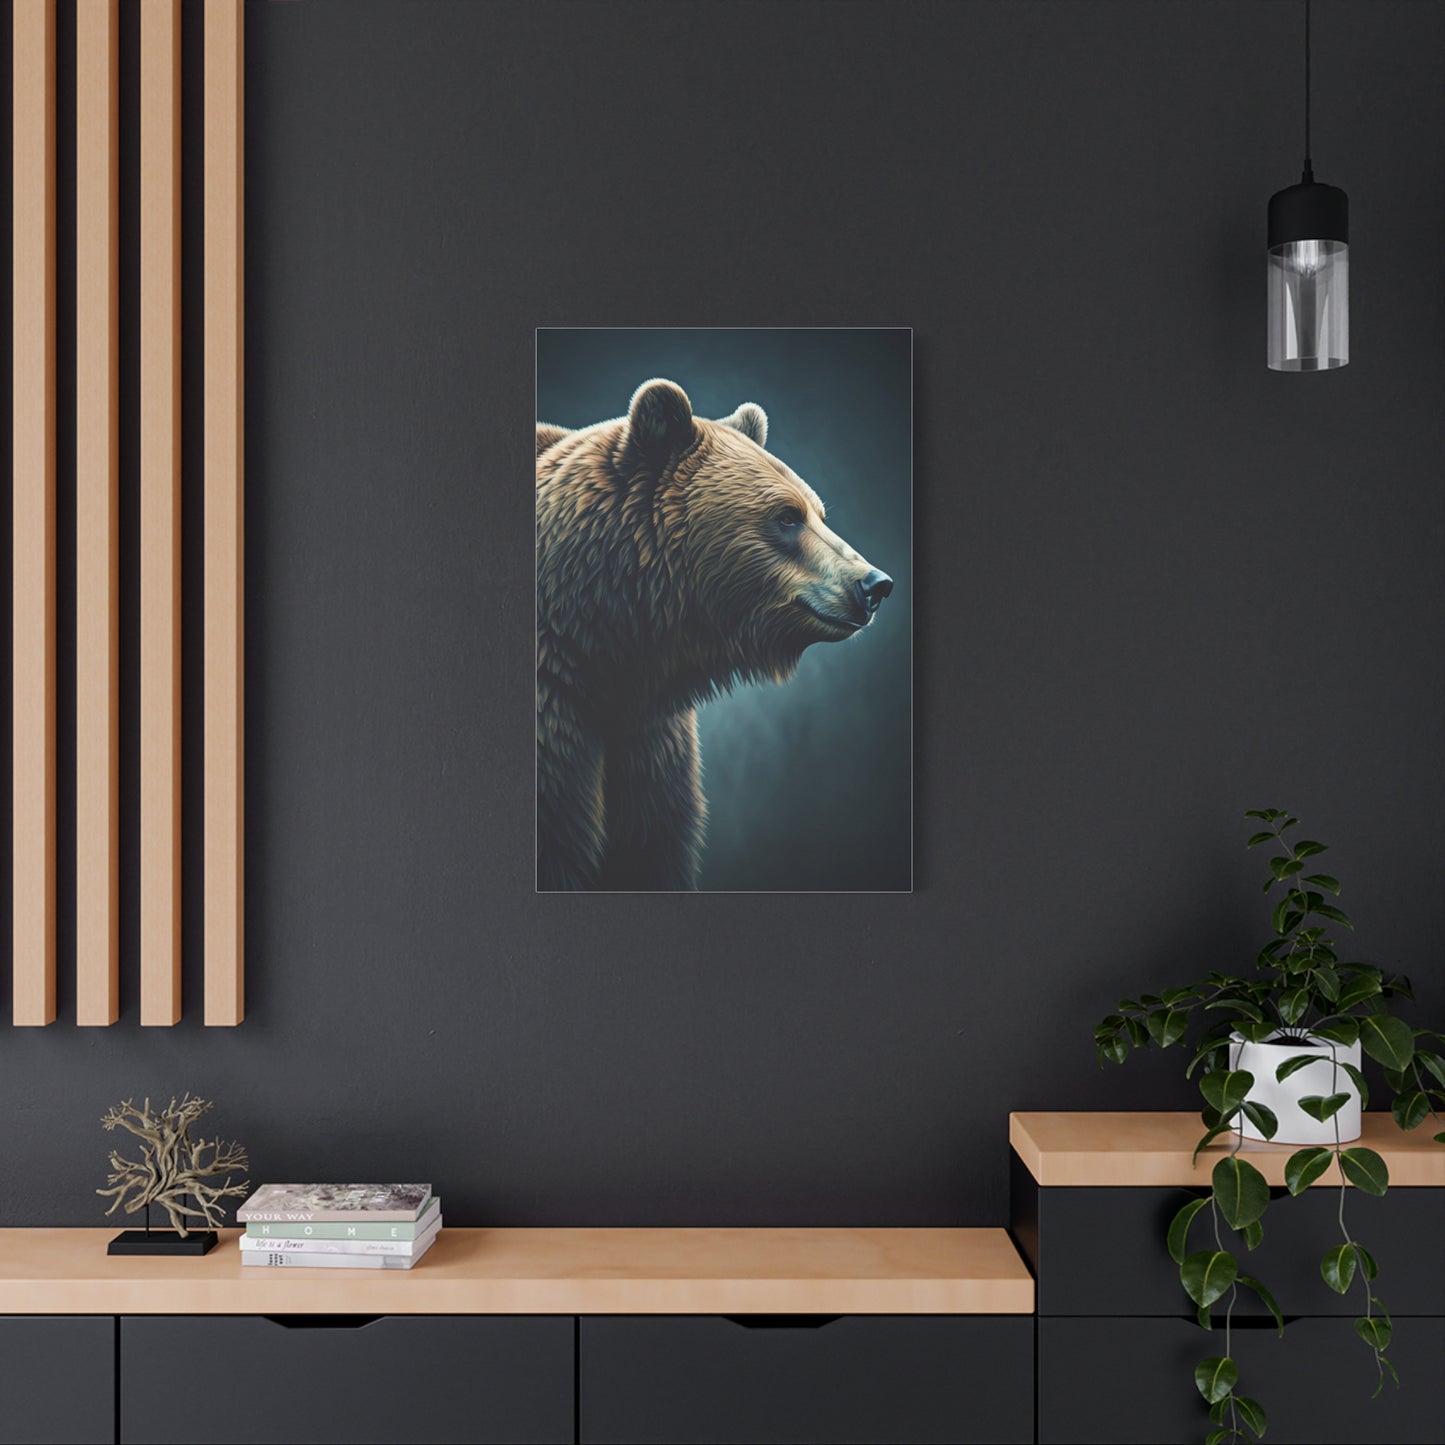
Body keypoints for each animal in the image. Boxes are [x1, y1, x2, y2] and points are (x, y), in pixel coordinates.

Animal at [536, 378, 893, 891]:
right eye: (787, 516)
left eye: (819, 513)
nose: (874, 584)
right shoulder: (556, 717)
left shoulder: (650, 737)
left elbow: (652, 842)